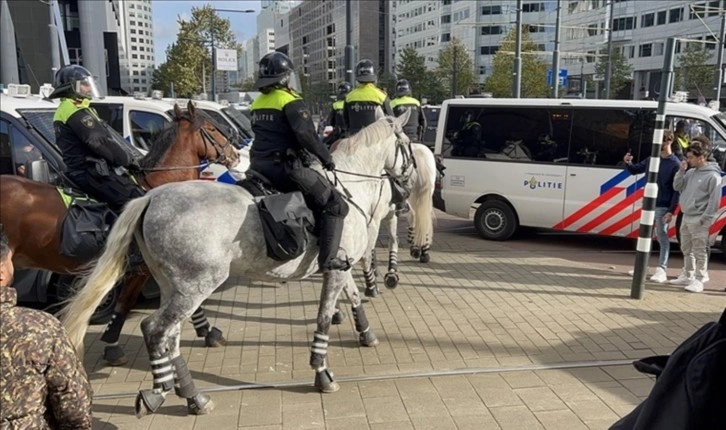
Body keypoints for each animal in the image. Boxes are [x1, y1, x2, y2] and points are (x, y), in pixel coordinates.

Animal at [0, 101, 239, 366]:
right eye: (212, 128)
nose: (236, 154)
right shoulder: (142, 271)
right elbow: (124, 305)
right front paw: (113, 344)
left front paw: (208, 332)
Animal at [61, 113, 416, 416]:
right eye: (409, 144)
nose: (410, 183)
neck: (347, 188)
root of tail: (151, 198)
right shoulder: (337, 267)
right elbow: (325, 317)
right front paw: (322, 371)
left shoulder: (338, 264)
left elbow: (353, 296)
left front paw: (366, 332)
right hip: (195, 287)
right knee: (156, 329)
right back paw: (161, 390)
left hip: (173, 287)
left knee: (169, 336)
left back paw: (191, 395)